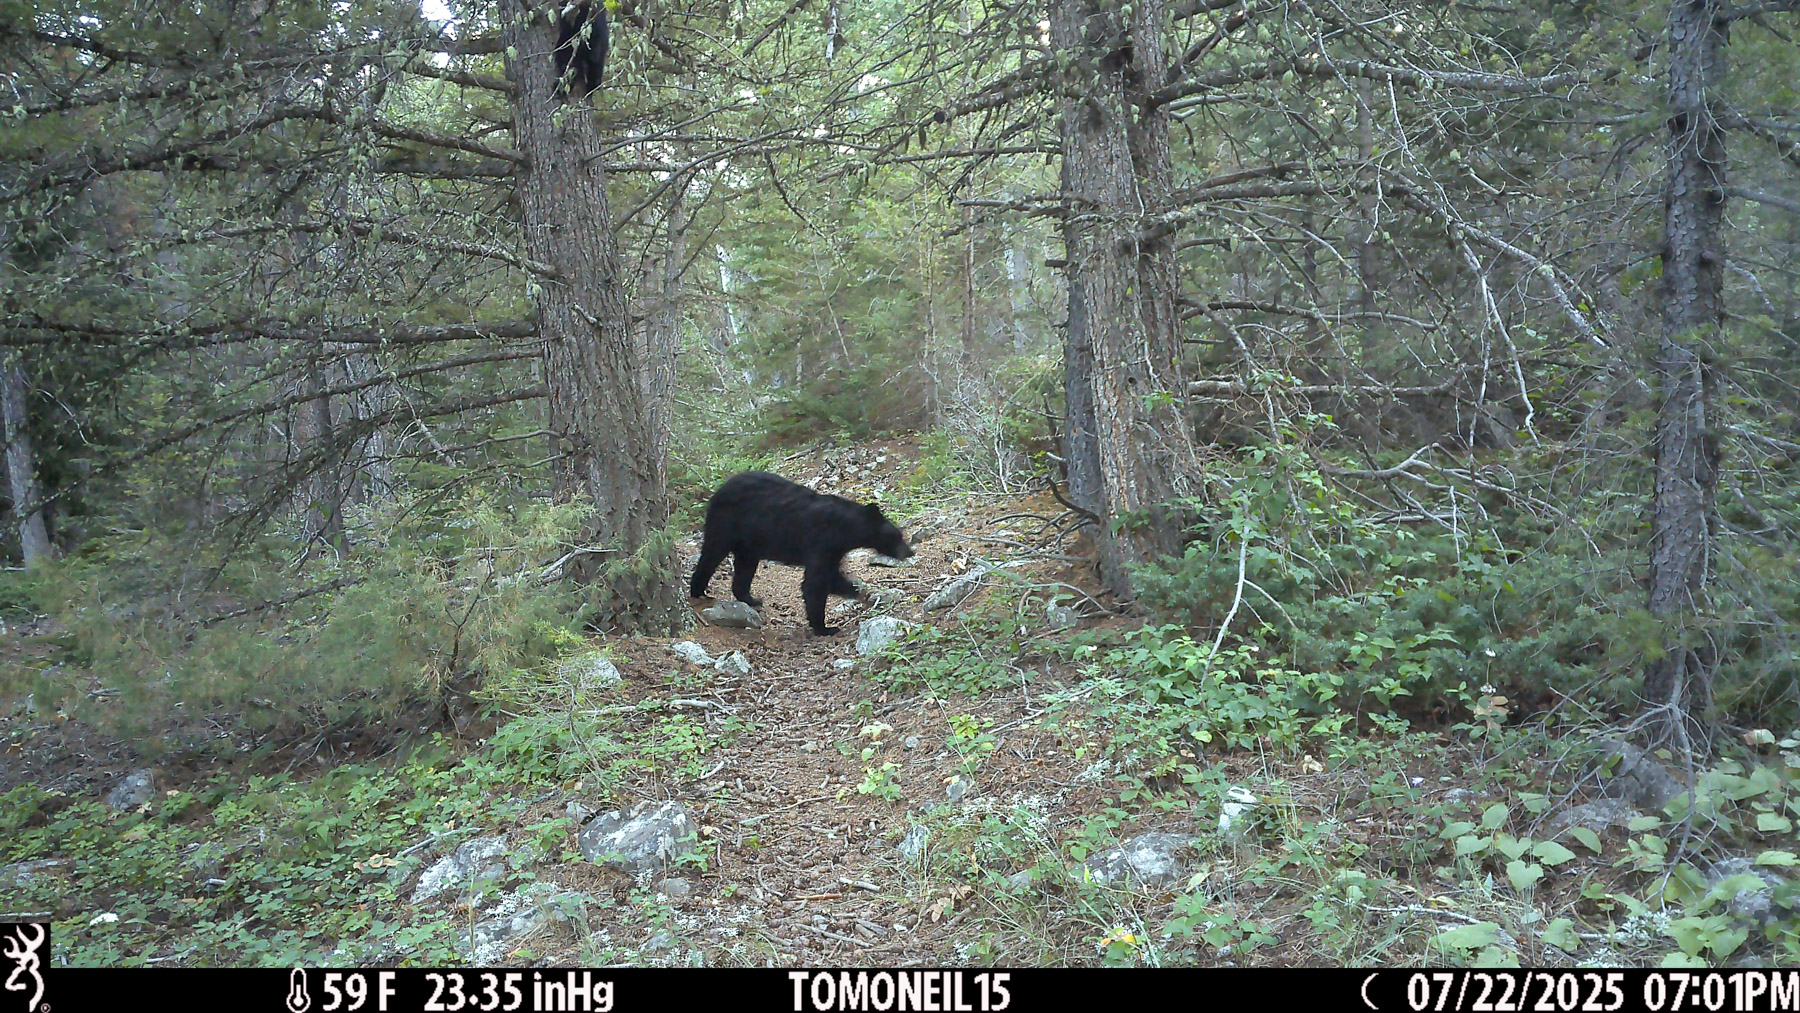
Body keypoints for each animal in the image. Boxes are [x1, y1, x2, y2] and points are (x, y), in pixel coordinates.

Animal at [689, 471, 914, 636]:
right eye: (897, 536)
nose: (910, 552)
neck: (844, 527)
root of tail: (718, 491)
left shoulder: (834, 549)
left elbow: (831, 576)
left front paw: (861, 592)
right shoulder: (821, 541)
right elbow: (815, 582)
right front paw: (825, 627)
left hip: (750, 541)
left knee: (745, 565)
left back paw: (751, 599)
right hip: (725, 524)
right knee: (711, 554)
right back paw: (698, 591)